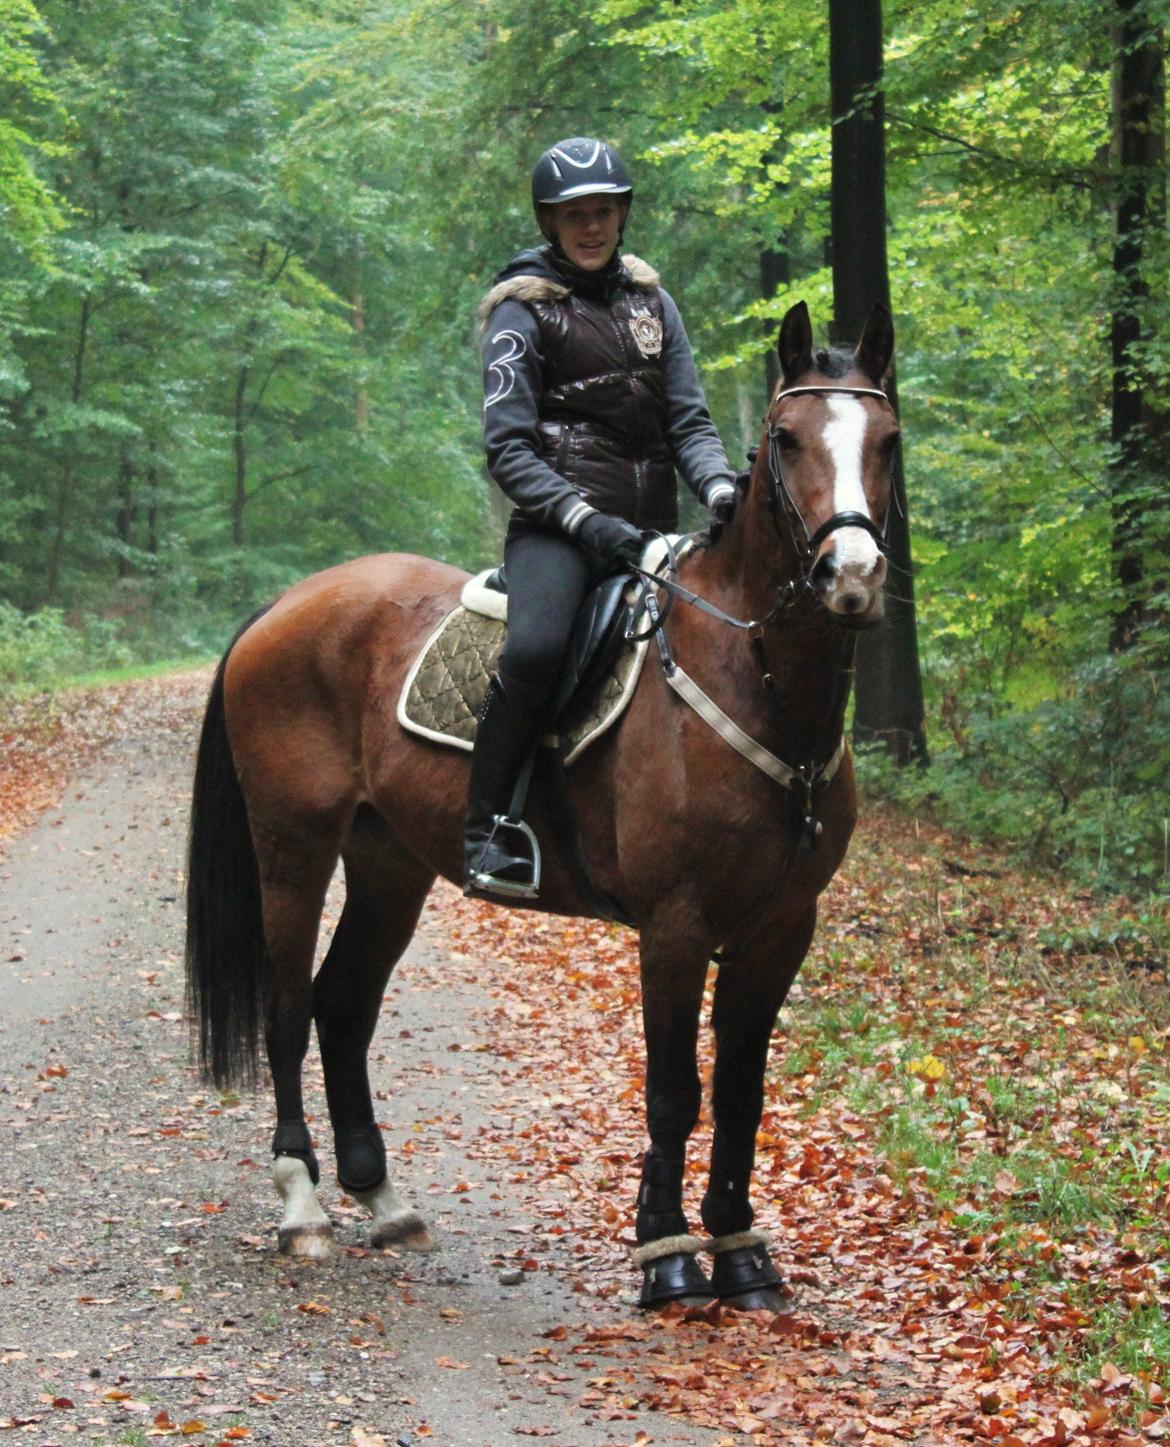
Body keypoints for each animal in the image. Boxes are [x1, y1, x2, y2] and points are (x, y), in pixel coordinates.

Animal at [185, 296, 896, 1313]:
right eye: (787, 438)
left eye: (888, 438)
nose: (852, 577)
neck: (753, 677)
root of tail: (284, 605)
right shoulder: (674, 923)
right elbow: (674, 1087)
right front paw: (665, 1254)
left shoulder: (780, 927)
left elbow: (742, 1090)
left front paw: (742, 1253)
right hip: (293, 847)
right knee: (287, 1007)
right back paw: (303, 1208)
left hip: (388, 860)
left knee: (343, 1003)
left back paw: (385, 1200)